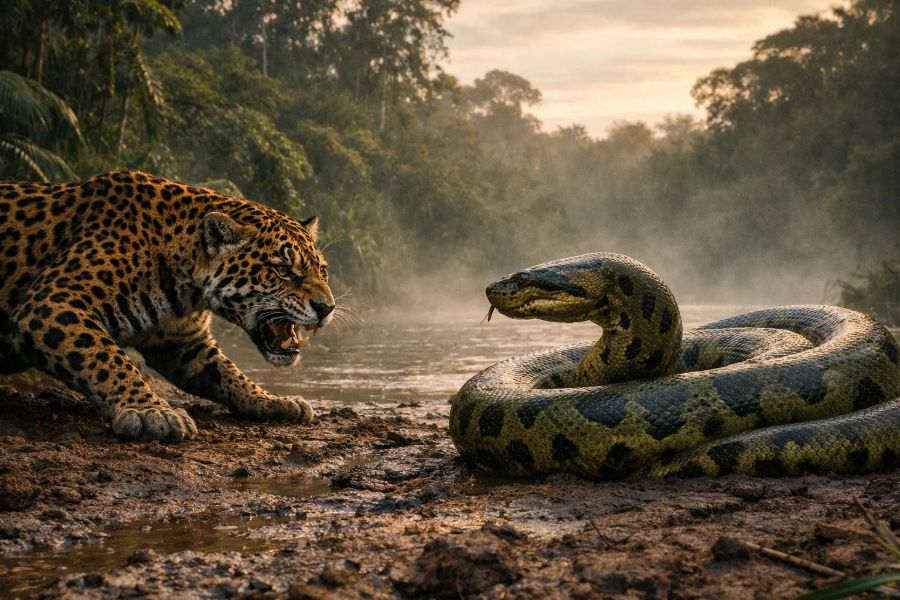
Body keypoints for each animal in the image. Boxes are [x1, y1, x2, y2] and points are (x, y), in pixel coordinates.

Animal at [0, 169, 335, 442]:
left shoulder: (182, 341)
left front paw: (274, 401)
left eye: (322, 270)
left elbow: (229, 372)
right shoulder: (52, 301)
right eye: (283, 270)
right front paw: (152, 412)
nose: (327, 308)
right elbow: (107, 358)